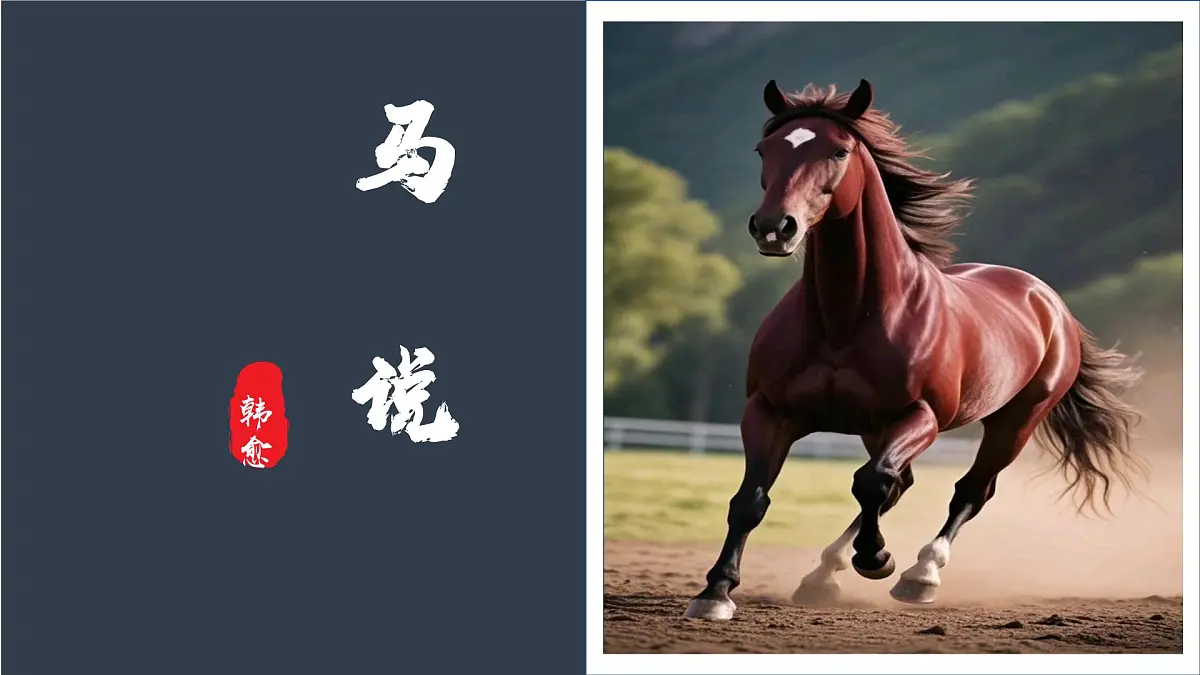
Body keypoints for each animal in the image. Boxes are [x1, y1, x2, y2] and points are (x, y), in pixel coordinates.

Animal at [684, 79, 1144, 620]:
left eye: (839, 150)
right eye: (765, 149)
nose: (775, 227)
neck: (847, 319)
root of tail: (1049, 302)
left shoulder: (920, 415)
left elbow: (871, 483)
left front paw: (877, 559)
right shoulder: (770, 412)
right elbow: (751, 500)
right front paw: (715, 592)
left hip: (1016, 420)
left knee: (968, 491)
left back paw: (920, 574)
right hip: (875, 429)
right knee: (898, 488)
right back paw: (823, 574)